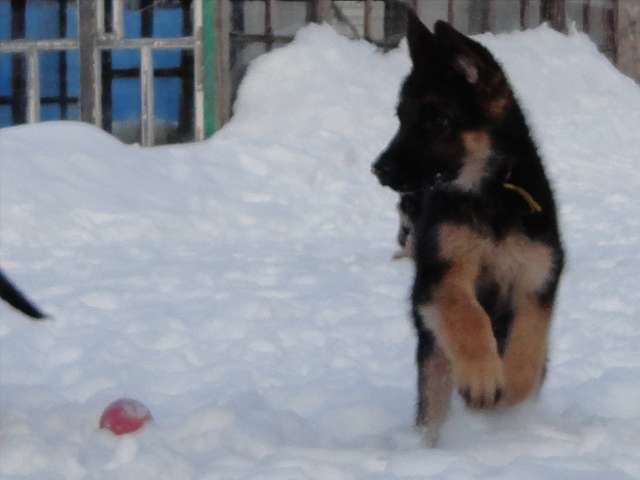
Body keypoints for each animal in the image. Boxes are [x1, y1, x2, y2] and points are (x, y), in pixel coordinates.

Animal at [372, 12, 564, 446]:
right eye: (401, 118)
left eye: (438, 121)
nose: (379, 170)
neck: (491, 193)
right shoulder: (441, 273)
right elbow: (467, 314)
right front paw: (481, 377)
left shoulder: (538, 275)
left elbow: (530, 336)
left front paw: (514, 384)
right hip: (432, 347)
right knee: (434, 398)